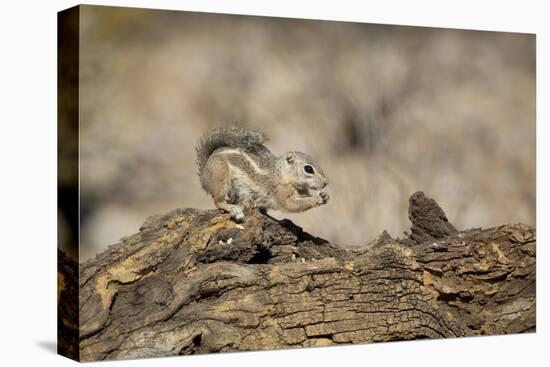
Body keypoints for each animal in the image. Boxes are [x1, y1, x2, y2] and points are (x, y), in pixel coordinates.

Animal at [196, 128, 330, 223]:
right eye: (308, 169)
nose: (325, 183)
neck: (282, 174)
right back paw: (234, 208)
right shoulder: (280, 191)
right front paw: (317, 198)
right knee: (218, 201)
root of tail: (204, 175)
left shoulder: (301, 192)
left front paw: (325, 196)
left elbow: (304, 198)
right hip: (221, 178)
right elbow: (291, 204)